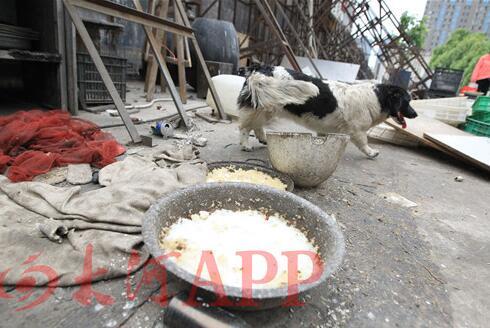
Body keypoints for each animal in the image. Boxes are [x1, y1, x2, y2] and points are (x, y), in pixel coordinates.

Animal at [237, 65, 418, 158]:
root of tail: (260, 69)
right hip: (265, 107)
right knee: (245, 127)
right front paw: (371, 152)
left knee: (256, 125)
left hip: (267, 108)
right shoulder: (357, 130)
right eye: (407, 101)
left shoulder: (324, 129)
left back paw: (262, 138)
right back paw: (245, 145)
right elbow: (364, 143)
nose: (415, 114)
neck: (376, 98)